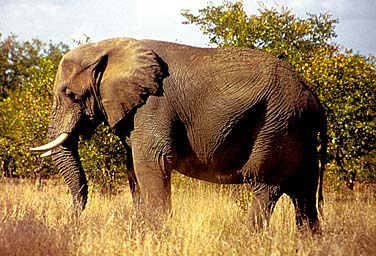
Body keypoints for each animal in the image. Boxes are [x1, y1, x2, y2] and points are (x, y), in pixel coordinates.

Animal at [31, 38, 326, 232]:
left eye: (70, 94)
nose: (71, 220)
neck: (110, 48)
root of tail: (312, 92)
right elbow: (132, 169)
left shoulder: (153, 105)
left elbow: (151, 163)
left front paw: (156, 234)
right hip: (298, 128)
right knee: (304, 191)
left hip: (279, 123)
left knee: (265, 184)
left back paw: (249, 237)